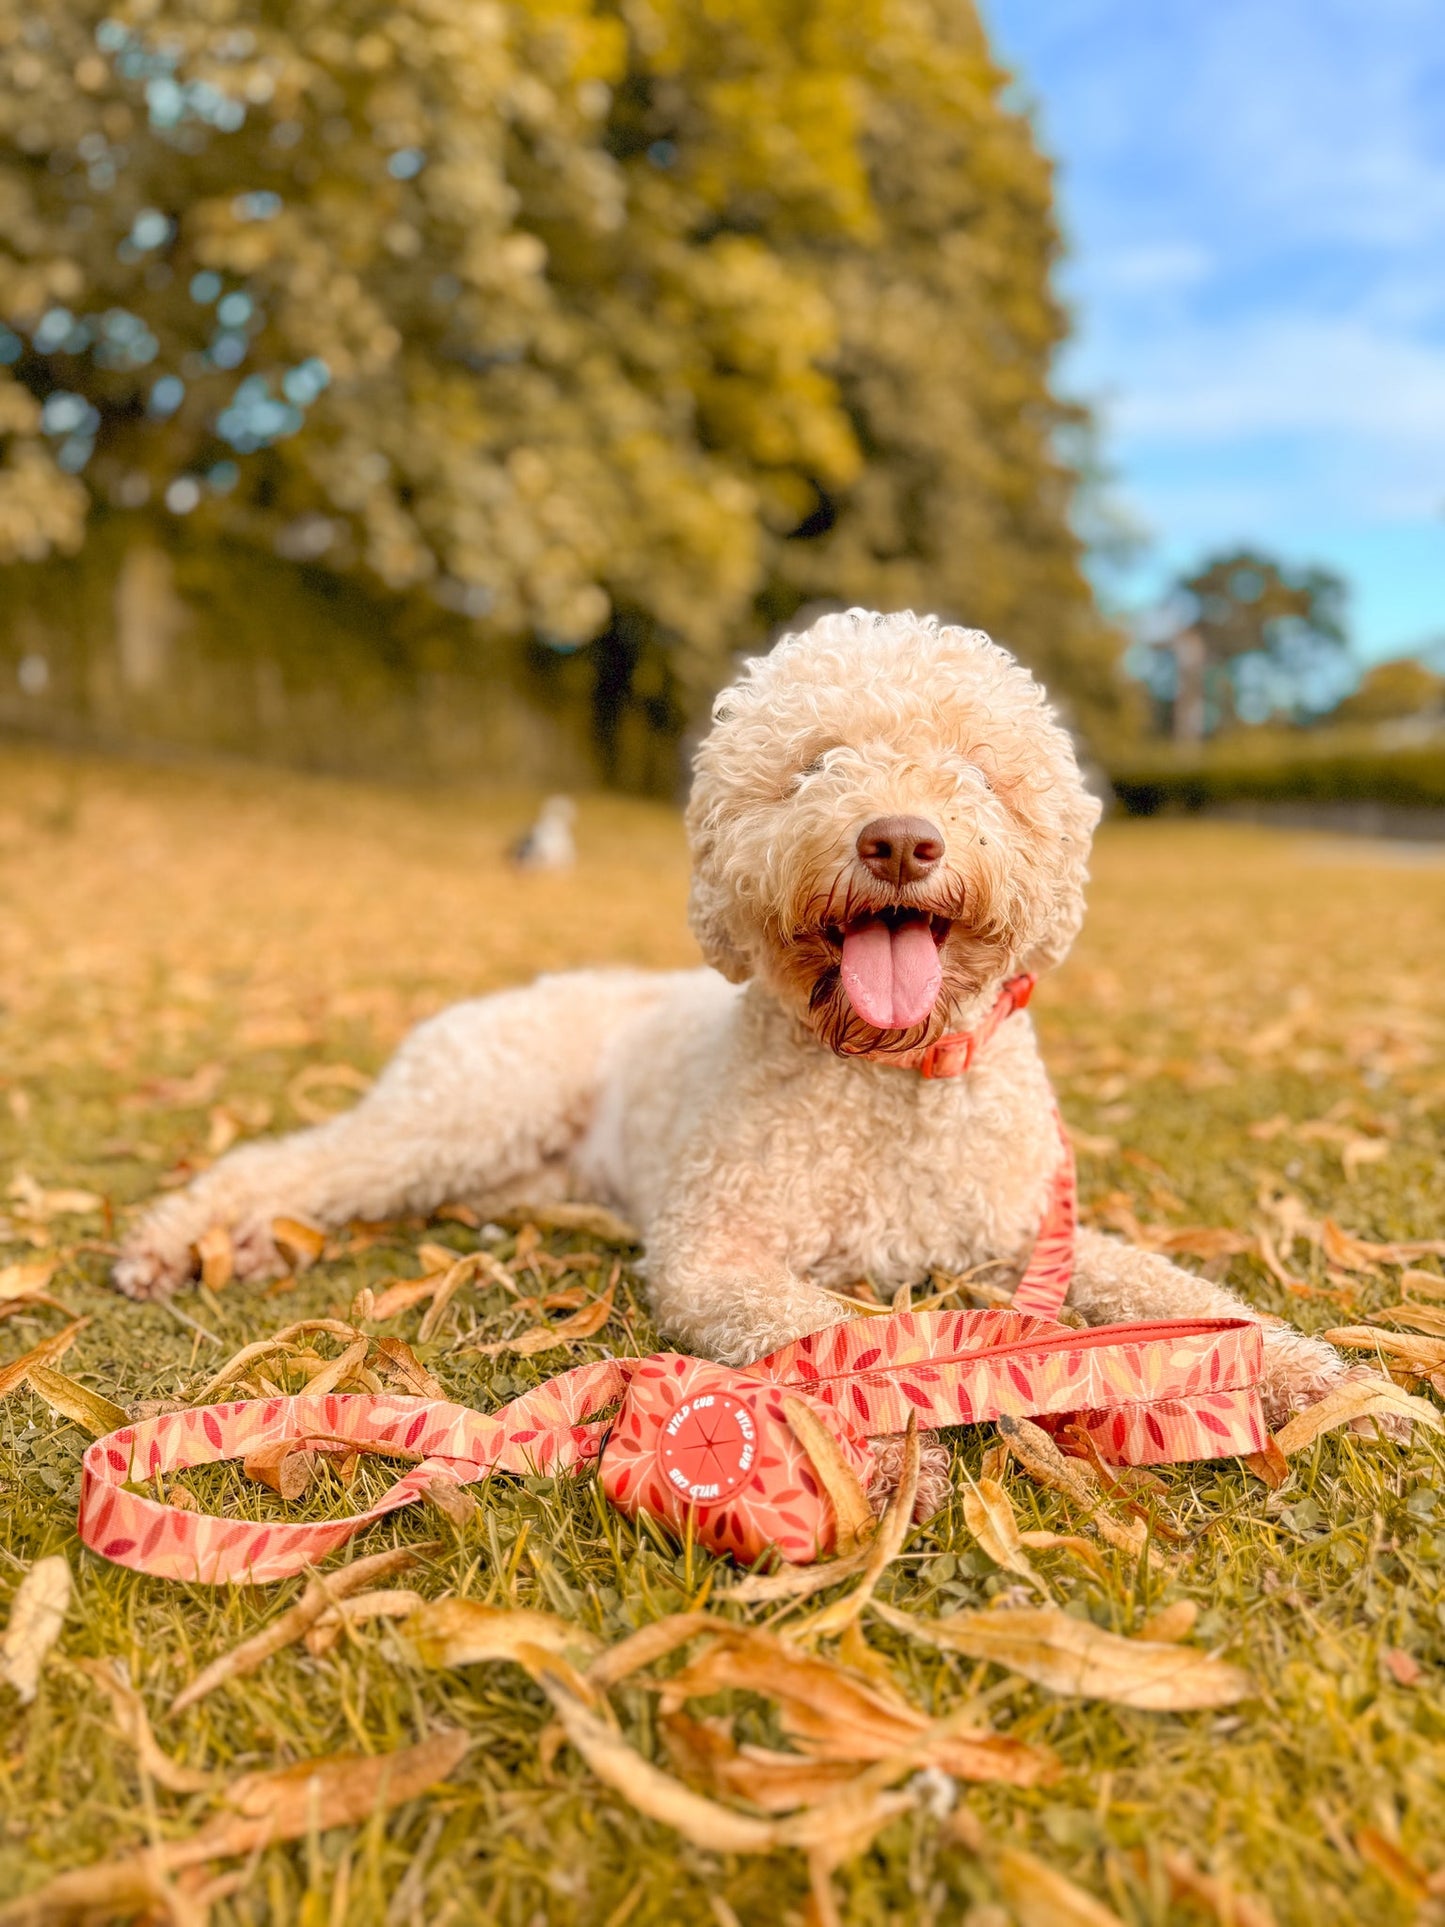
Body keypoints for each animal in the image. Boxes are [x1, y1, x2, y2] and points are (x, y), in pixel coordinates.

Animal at [118, 608, 1356, 1425]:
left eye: (972, 770)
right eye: (815, 765)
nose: (897, 840)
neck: (884, 1074)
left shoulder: (1021, 1235)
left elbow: (1172, 1291)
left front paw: (1300, 1372)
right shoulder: (717, 1255)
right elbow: (840, 1330)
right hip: (465, 1108)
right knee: (297, 1159)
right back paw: (185, 1239)